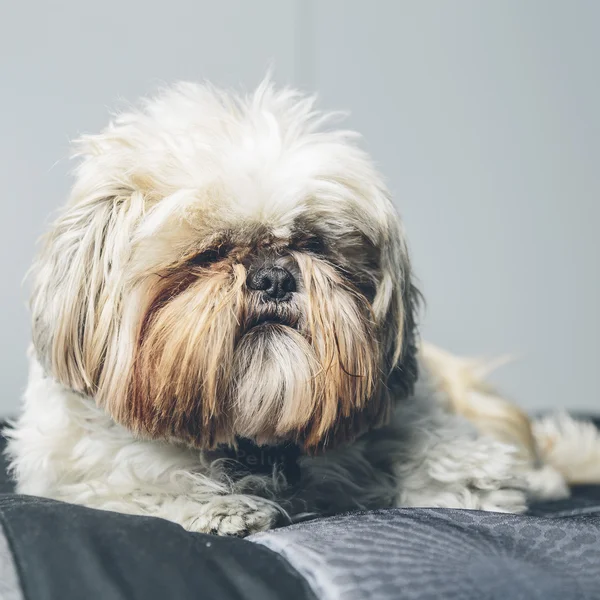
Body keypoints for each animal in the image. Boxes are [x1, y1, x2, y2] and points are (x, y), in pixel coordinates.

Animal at [5, 79, 600, 536]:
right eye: (210, 253)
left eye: (314, 244)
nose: (274, 275)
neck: (257, 444)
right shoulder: (80, 471)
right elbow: (137, 482)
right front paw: (222, 506)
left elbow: (444, 455)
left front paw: (474, 482)